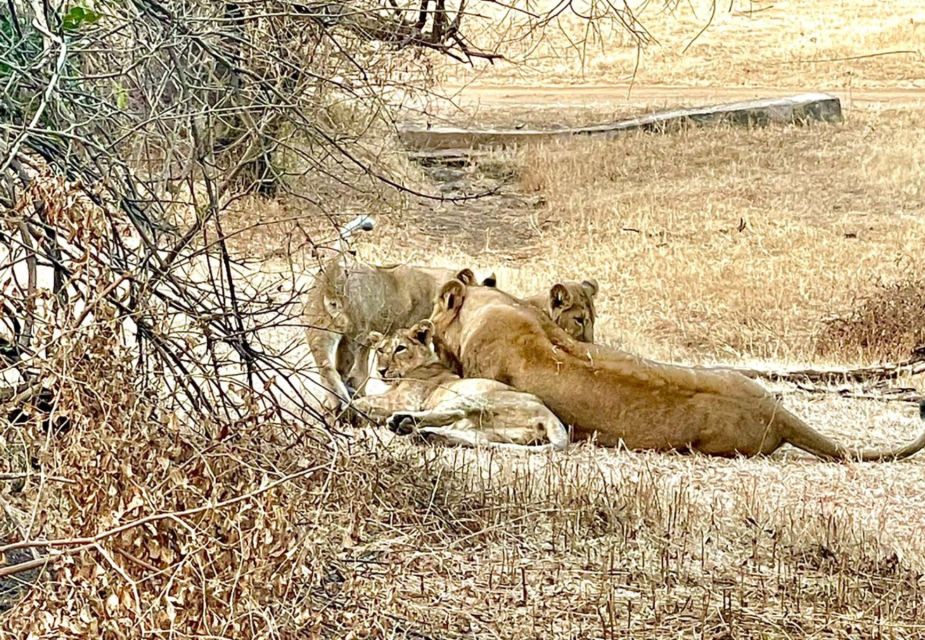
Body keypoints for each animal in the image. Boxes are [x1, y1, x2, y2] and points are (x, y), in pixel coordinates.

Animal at [350, 320, 568, 450]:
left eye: (400, 349)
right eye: (380, 350)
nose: (381, 370)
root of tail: (550, 414)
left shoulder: (405, 400)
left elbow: (363, 401)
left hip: (473, 397)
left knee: (454, 412)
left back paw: (403, 423)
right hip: (495, 432)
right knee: (477, 439)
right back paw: (426, 435)